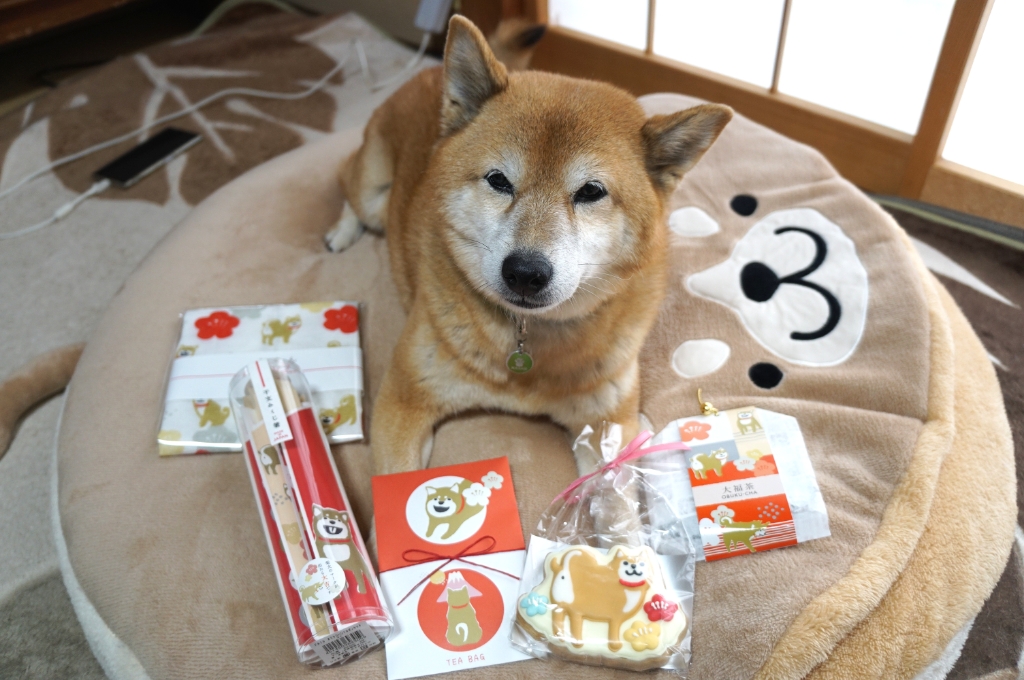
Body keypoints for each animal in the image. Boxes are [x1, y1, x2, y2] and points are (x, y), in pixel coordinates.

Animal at [326, 16, 732, 475]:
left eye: (591, 191)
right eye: (498, 180)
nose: (525, 272)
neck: (527, 341)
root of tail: (429, 72)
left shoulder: (607, 420)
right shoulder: (402, 400)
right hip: (373, 195)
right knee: (346, 180)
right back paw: (341, 232)